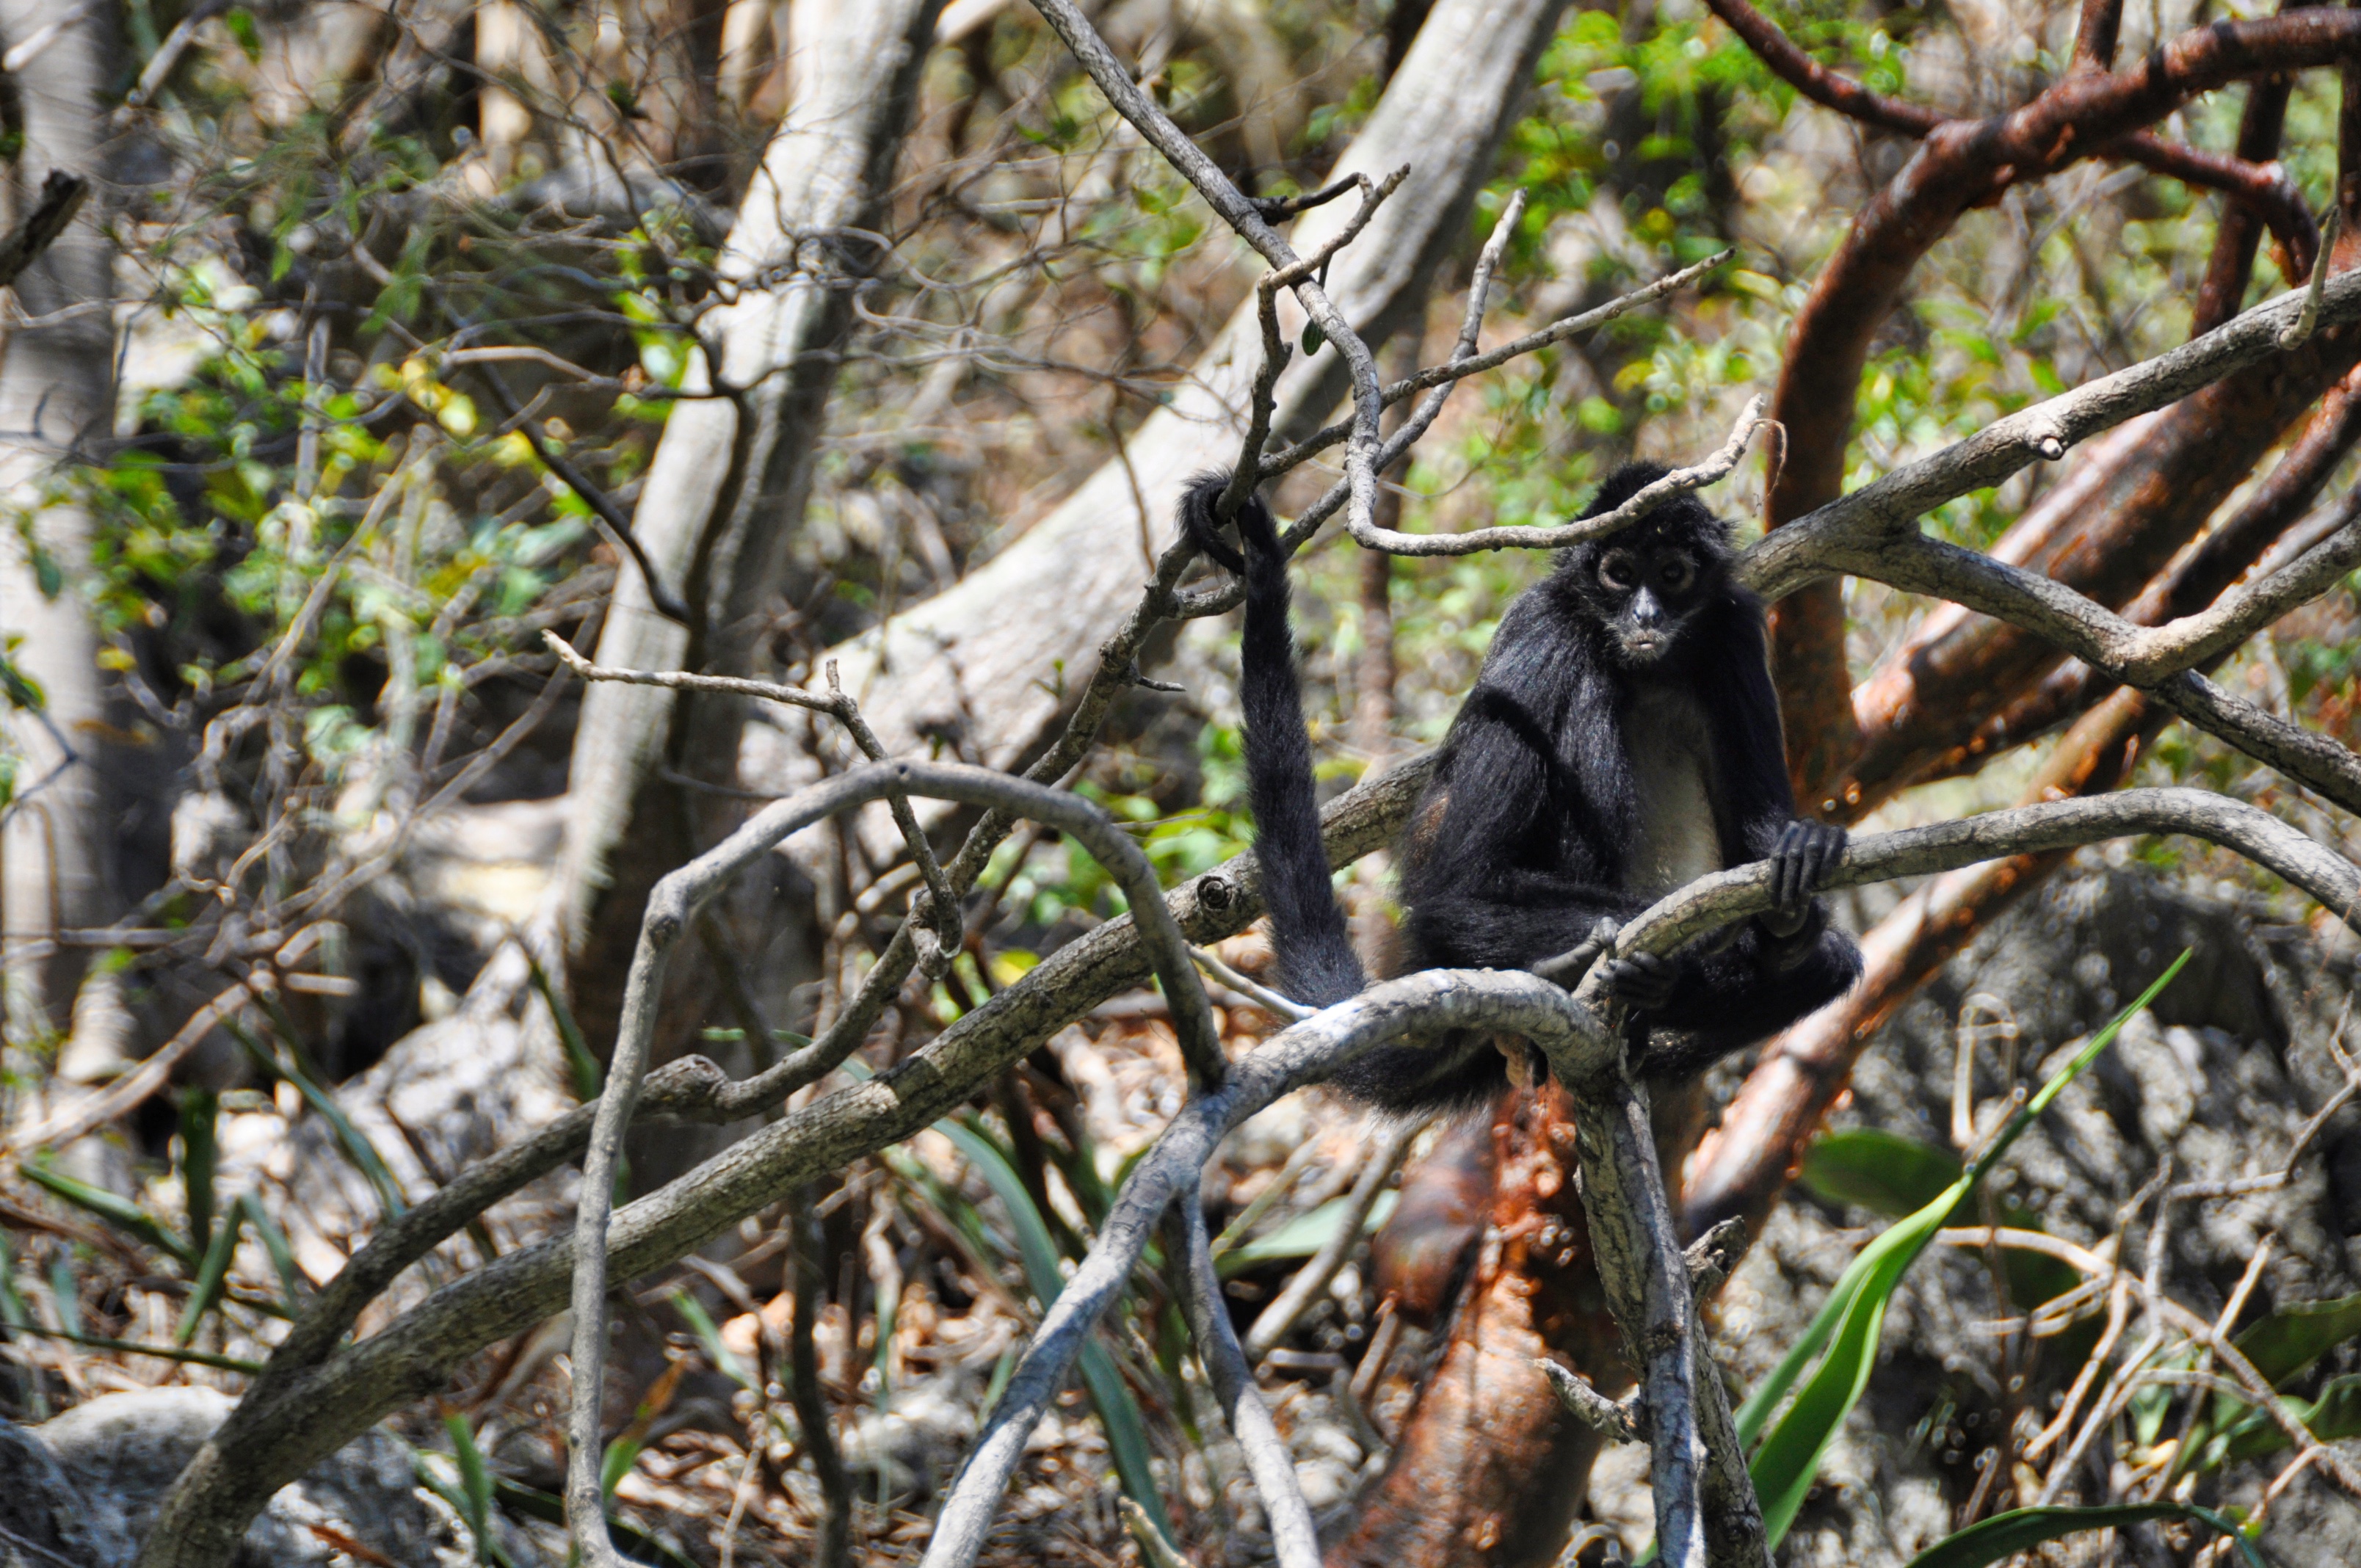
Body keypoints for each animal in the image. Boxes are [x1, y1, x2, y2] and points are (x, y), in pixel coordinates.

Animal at [1180, 462, 1860, 1114]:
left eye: (1672, 575)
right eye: (1620, 574)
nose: (1645, 616)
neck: (1648, 665)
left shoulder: (1733, 627)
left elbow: (1762, 850)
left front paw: (1793, 888)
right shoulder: (1544, 630)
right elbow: (1460, 893)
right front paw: (1675, 942)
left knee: (1834, 961)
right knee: (1585, 688)